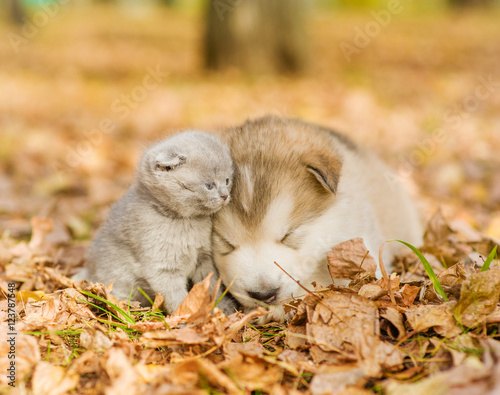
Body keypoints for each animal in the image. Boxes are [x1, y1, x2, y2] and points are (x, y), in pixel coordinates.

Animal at [73, 132, 235, 316]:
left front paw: (222, 307)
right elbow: (177, 296)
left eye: (227, 181)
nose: (225, 195)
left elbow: (213, 285)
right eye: (209, 185)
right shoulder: (162, 267)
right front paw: (185, 317)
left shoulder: (205, 258)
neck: (185, 222)